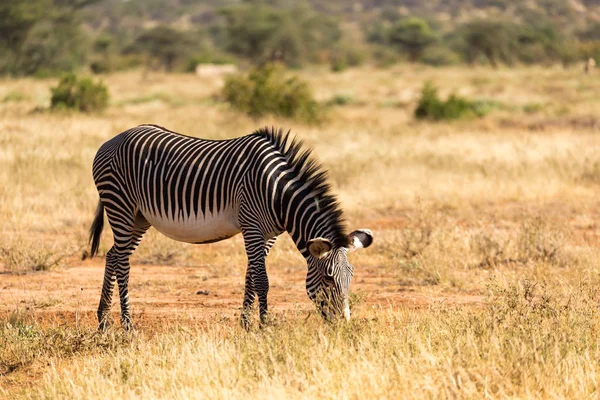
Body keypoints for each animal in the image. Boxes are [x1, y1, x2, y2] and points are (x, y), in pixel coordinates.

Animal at [89, 124, 372, 328]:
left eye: (351, 276)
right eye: (328, 278)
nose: (343, 324)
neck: (278, 193)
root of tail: (114, 139)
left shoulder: (268, 234)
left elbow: (250, 277)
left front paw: (245, 324)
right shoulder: (252, 226)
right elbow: (262, 280)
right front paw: (264, 326)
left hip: (139, 218)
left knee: (113, 255)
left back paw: (103, 320)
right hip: (121, 206)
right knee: (122, 263)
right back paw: (127, 325)